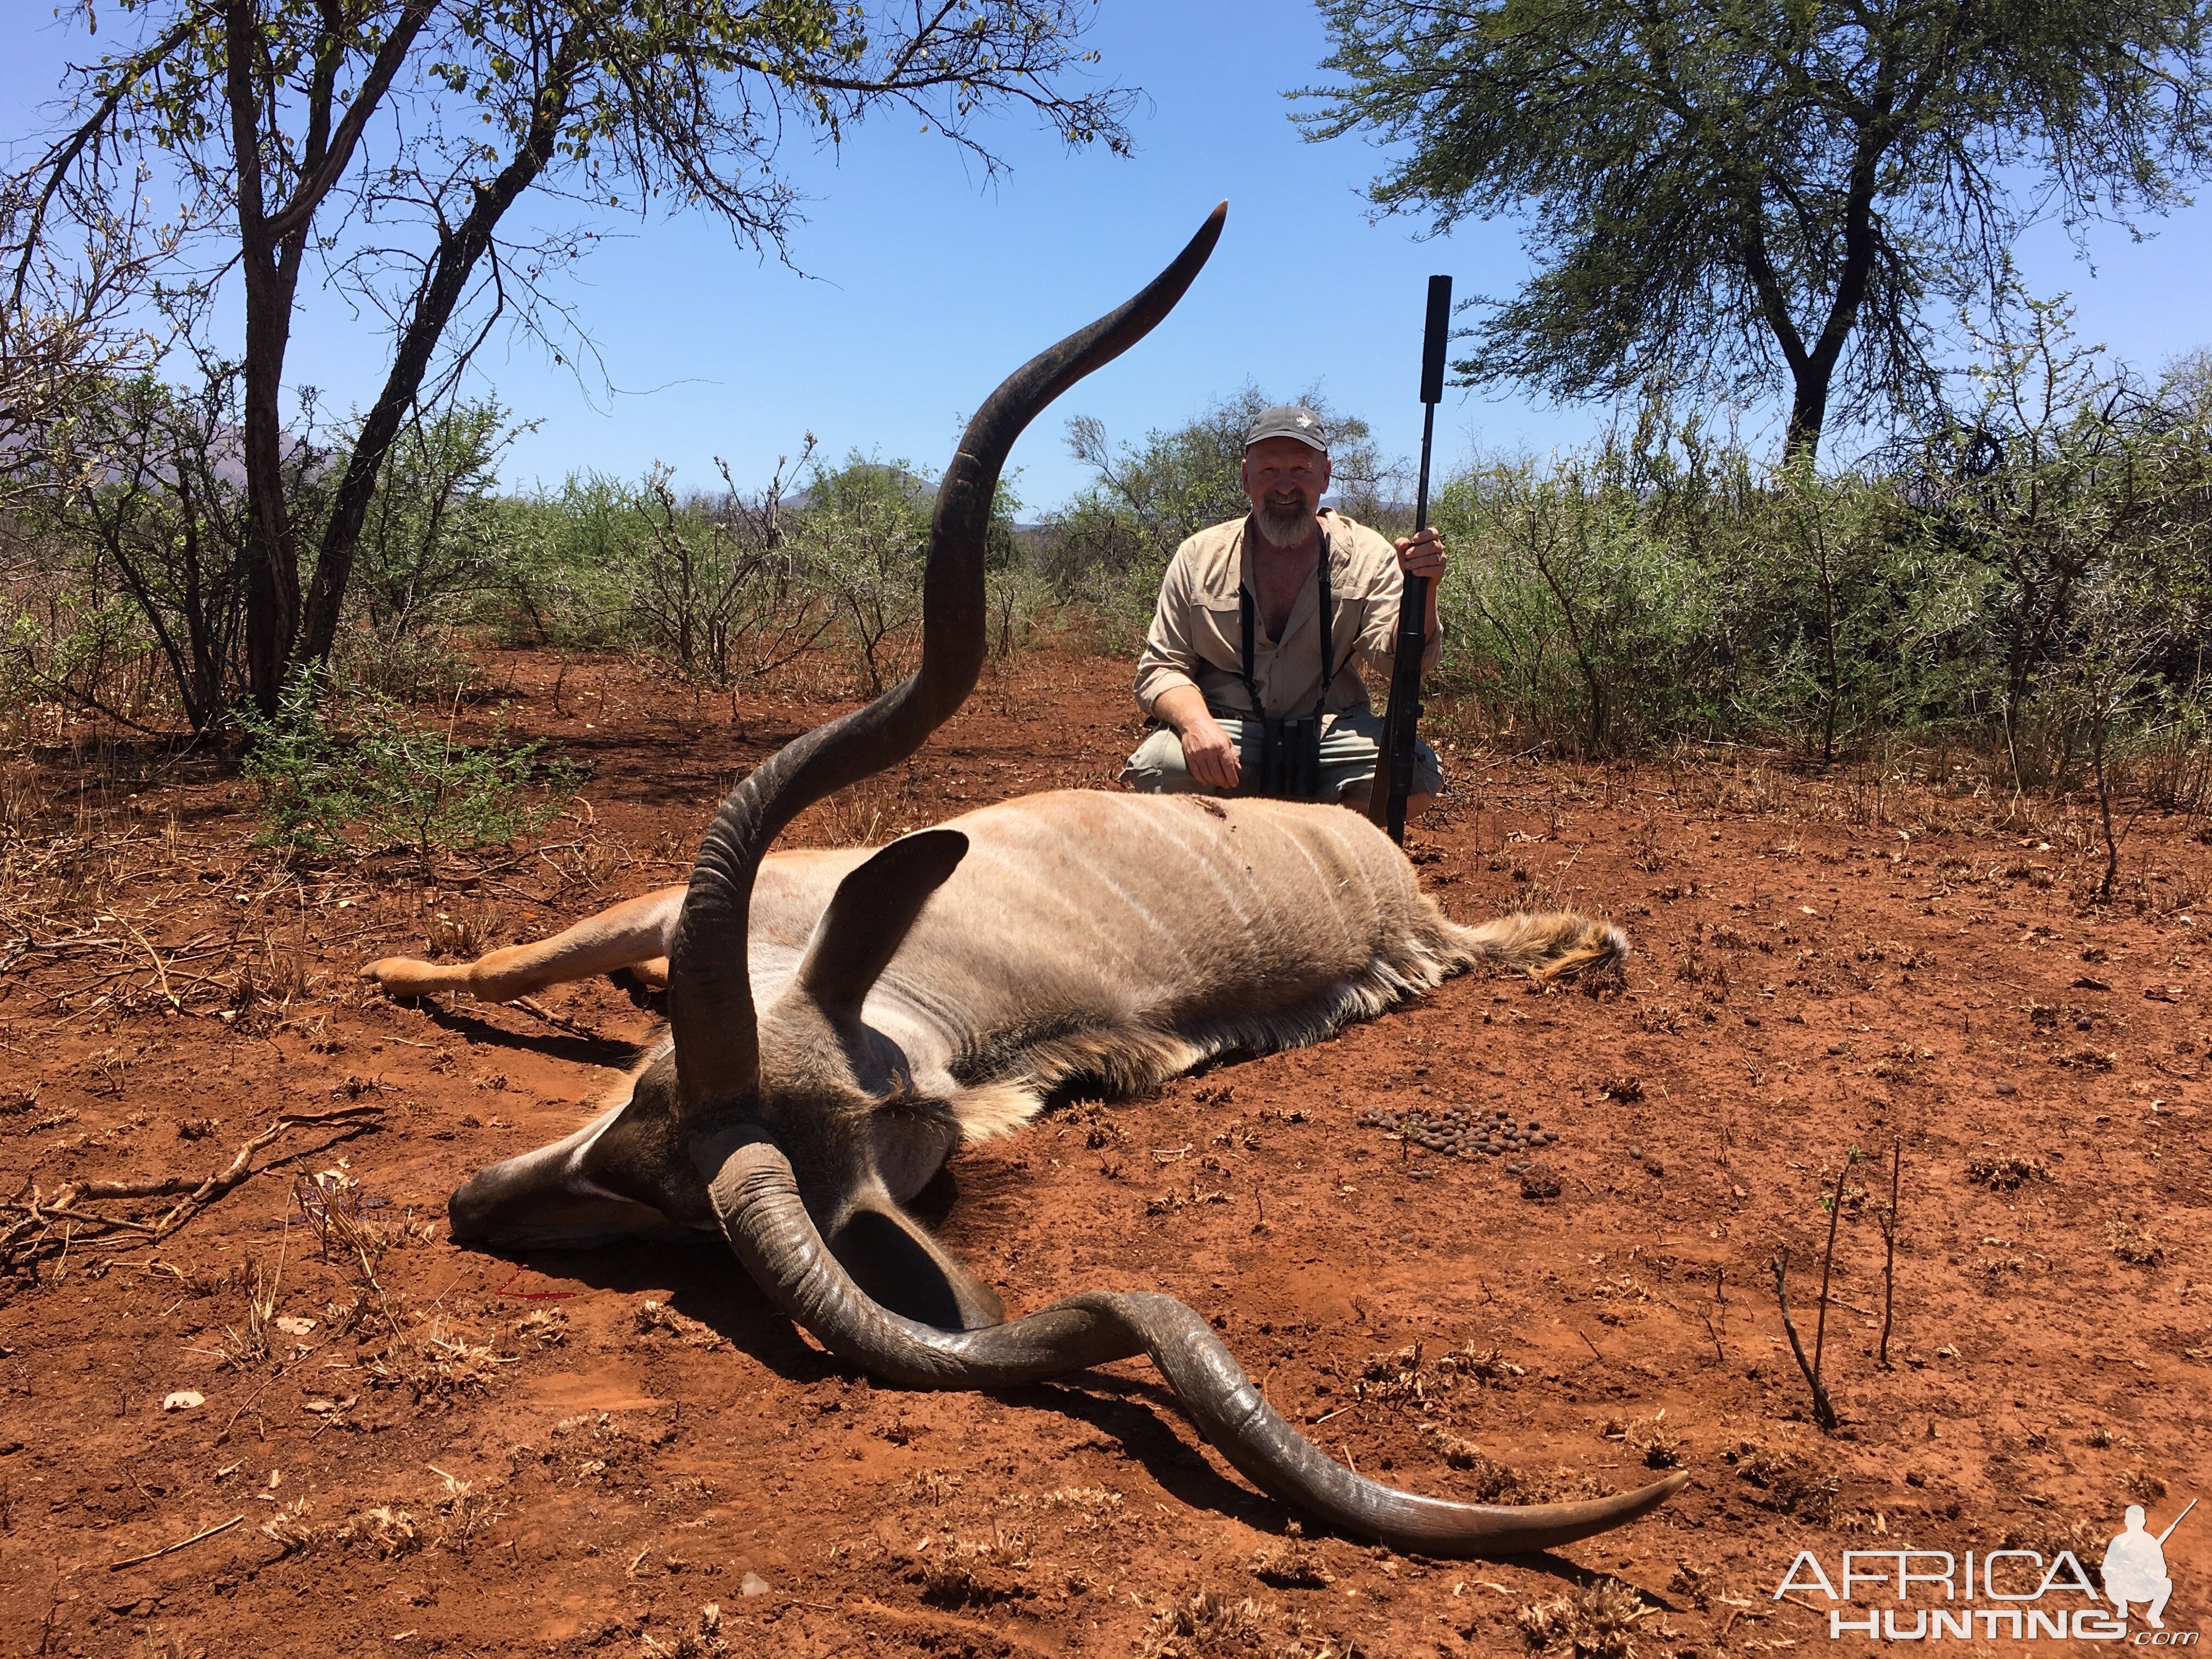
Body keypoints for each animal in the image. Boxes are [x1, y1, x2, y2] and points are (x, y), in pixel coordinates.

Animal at [363, 208, 1681, 1557]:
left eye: (679, 1214)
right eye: (643, 1095)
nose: (471, 1201)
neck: (918, 1001)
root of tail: (1405, 892)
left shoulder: (681, 917)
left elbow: (505, 957)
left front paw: (383, 966)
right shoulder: (679, 921)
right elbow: (512, 959)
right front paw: (406, 966)